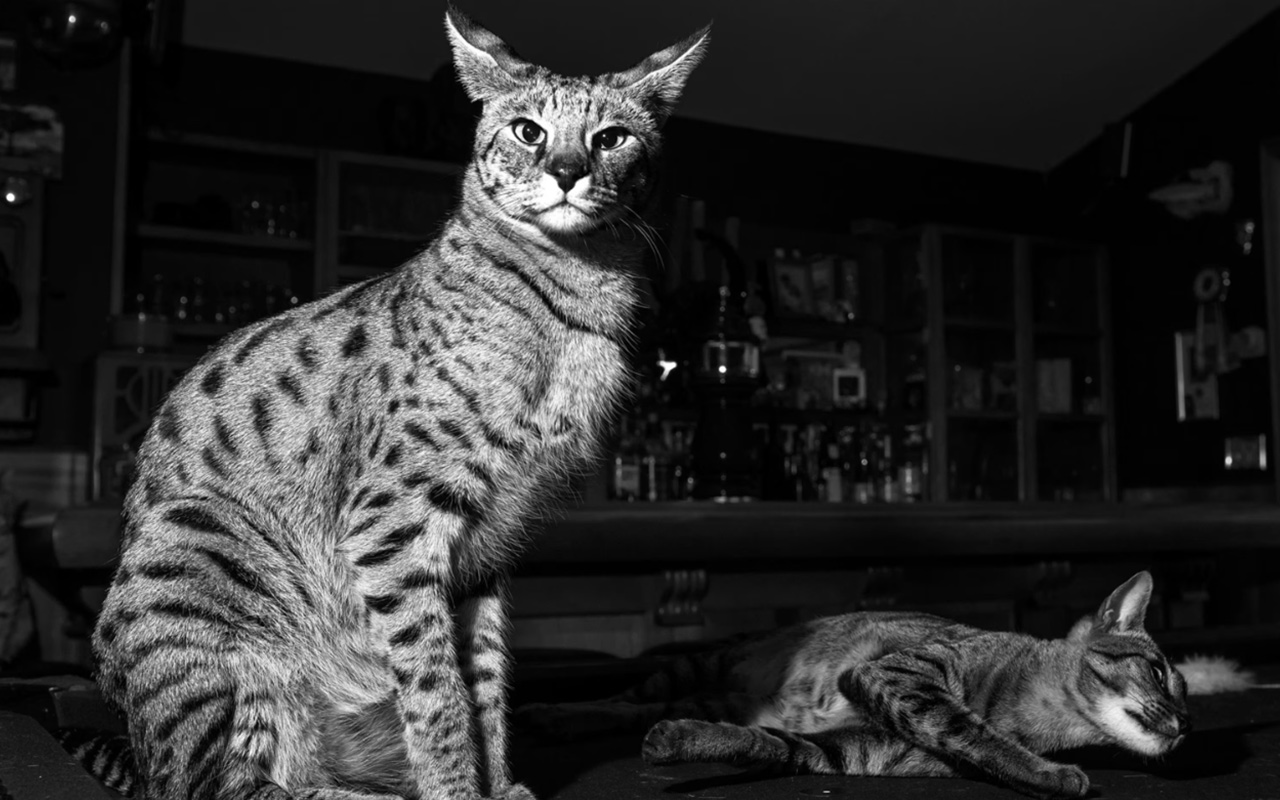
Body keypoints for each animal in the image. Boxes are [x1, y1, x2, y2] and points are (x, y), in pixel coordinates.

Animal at [517, 568, 1187, 798]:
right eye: (1159, 673)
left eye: (1187, 699)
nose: (1184, 726)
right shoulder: (896, 674)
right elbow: (966, 727)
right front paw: (1047, 773)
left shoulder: (850, 751)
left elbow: (765, 743)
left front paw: (685, 741)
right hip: (698, 663)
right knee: (621, 699)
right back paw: (549, 714)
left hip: (704, 687)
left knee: (647, 707)